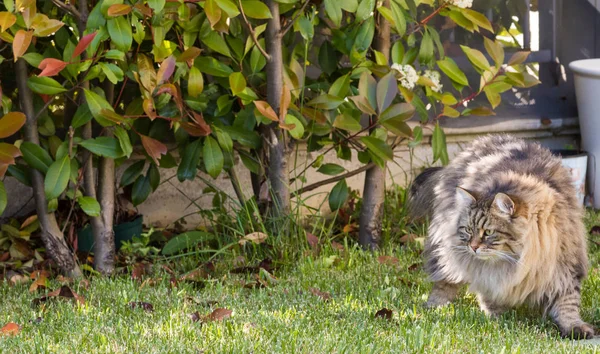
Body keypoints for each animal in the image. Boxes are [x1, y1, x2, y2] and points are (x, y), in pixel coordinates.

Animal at [408, 134, 596, 338]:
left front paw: (575, 327)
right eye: (468, 230)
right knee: (443, 281)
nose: (473, 247)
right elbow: (489, 295)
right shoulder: (487, 274)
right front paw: (497, 319)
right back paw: (436, 307)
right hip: (446, 249)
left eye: (488, 232)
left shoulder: (565, 266)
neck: (517, 263)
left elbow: (567, 304)